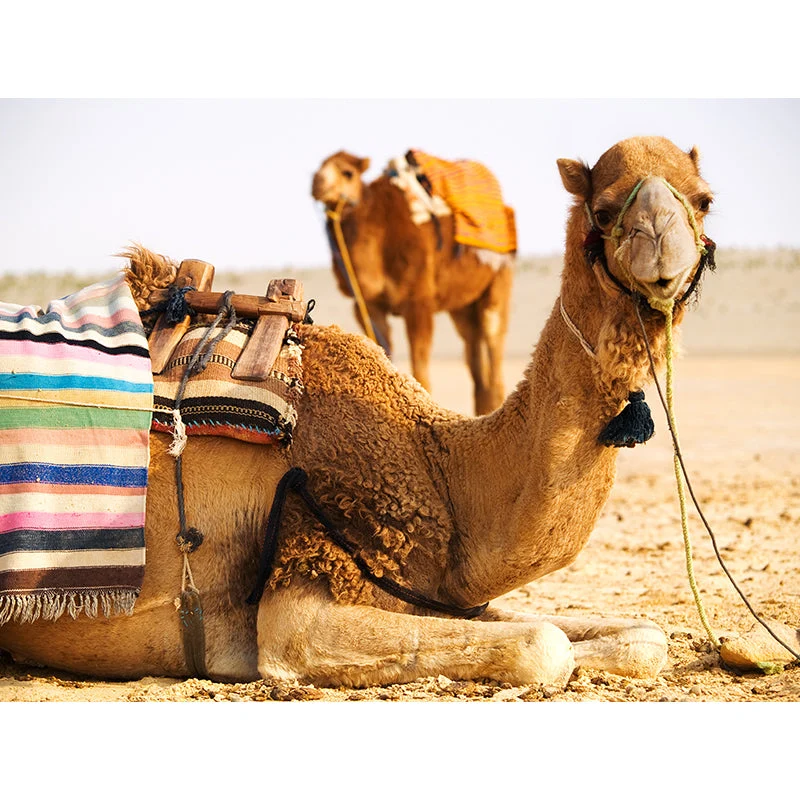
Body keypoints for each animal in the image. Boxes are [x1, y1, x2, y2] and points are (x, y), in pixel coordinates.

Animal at [312, 150, 515, 415]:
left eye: (348, 172)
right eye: (319, 166)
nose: (317, 182)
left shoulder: (419, 301)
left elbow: (420, 364)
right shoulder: (368, 304)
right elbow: (382, 349)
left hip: (499, 278)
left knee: (493, 338)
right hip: (462, 304)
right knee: (472, 345)